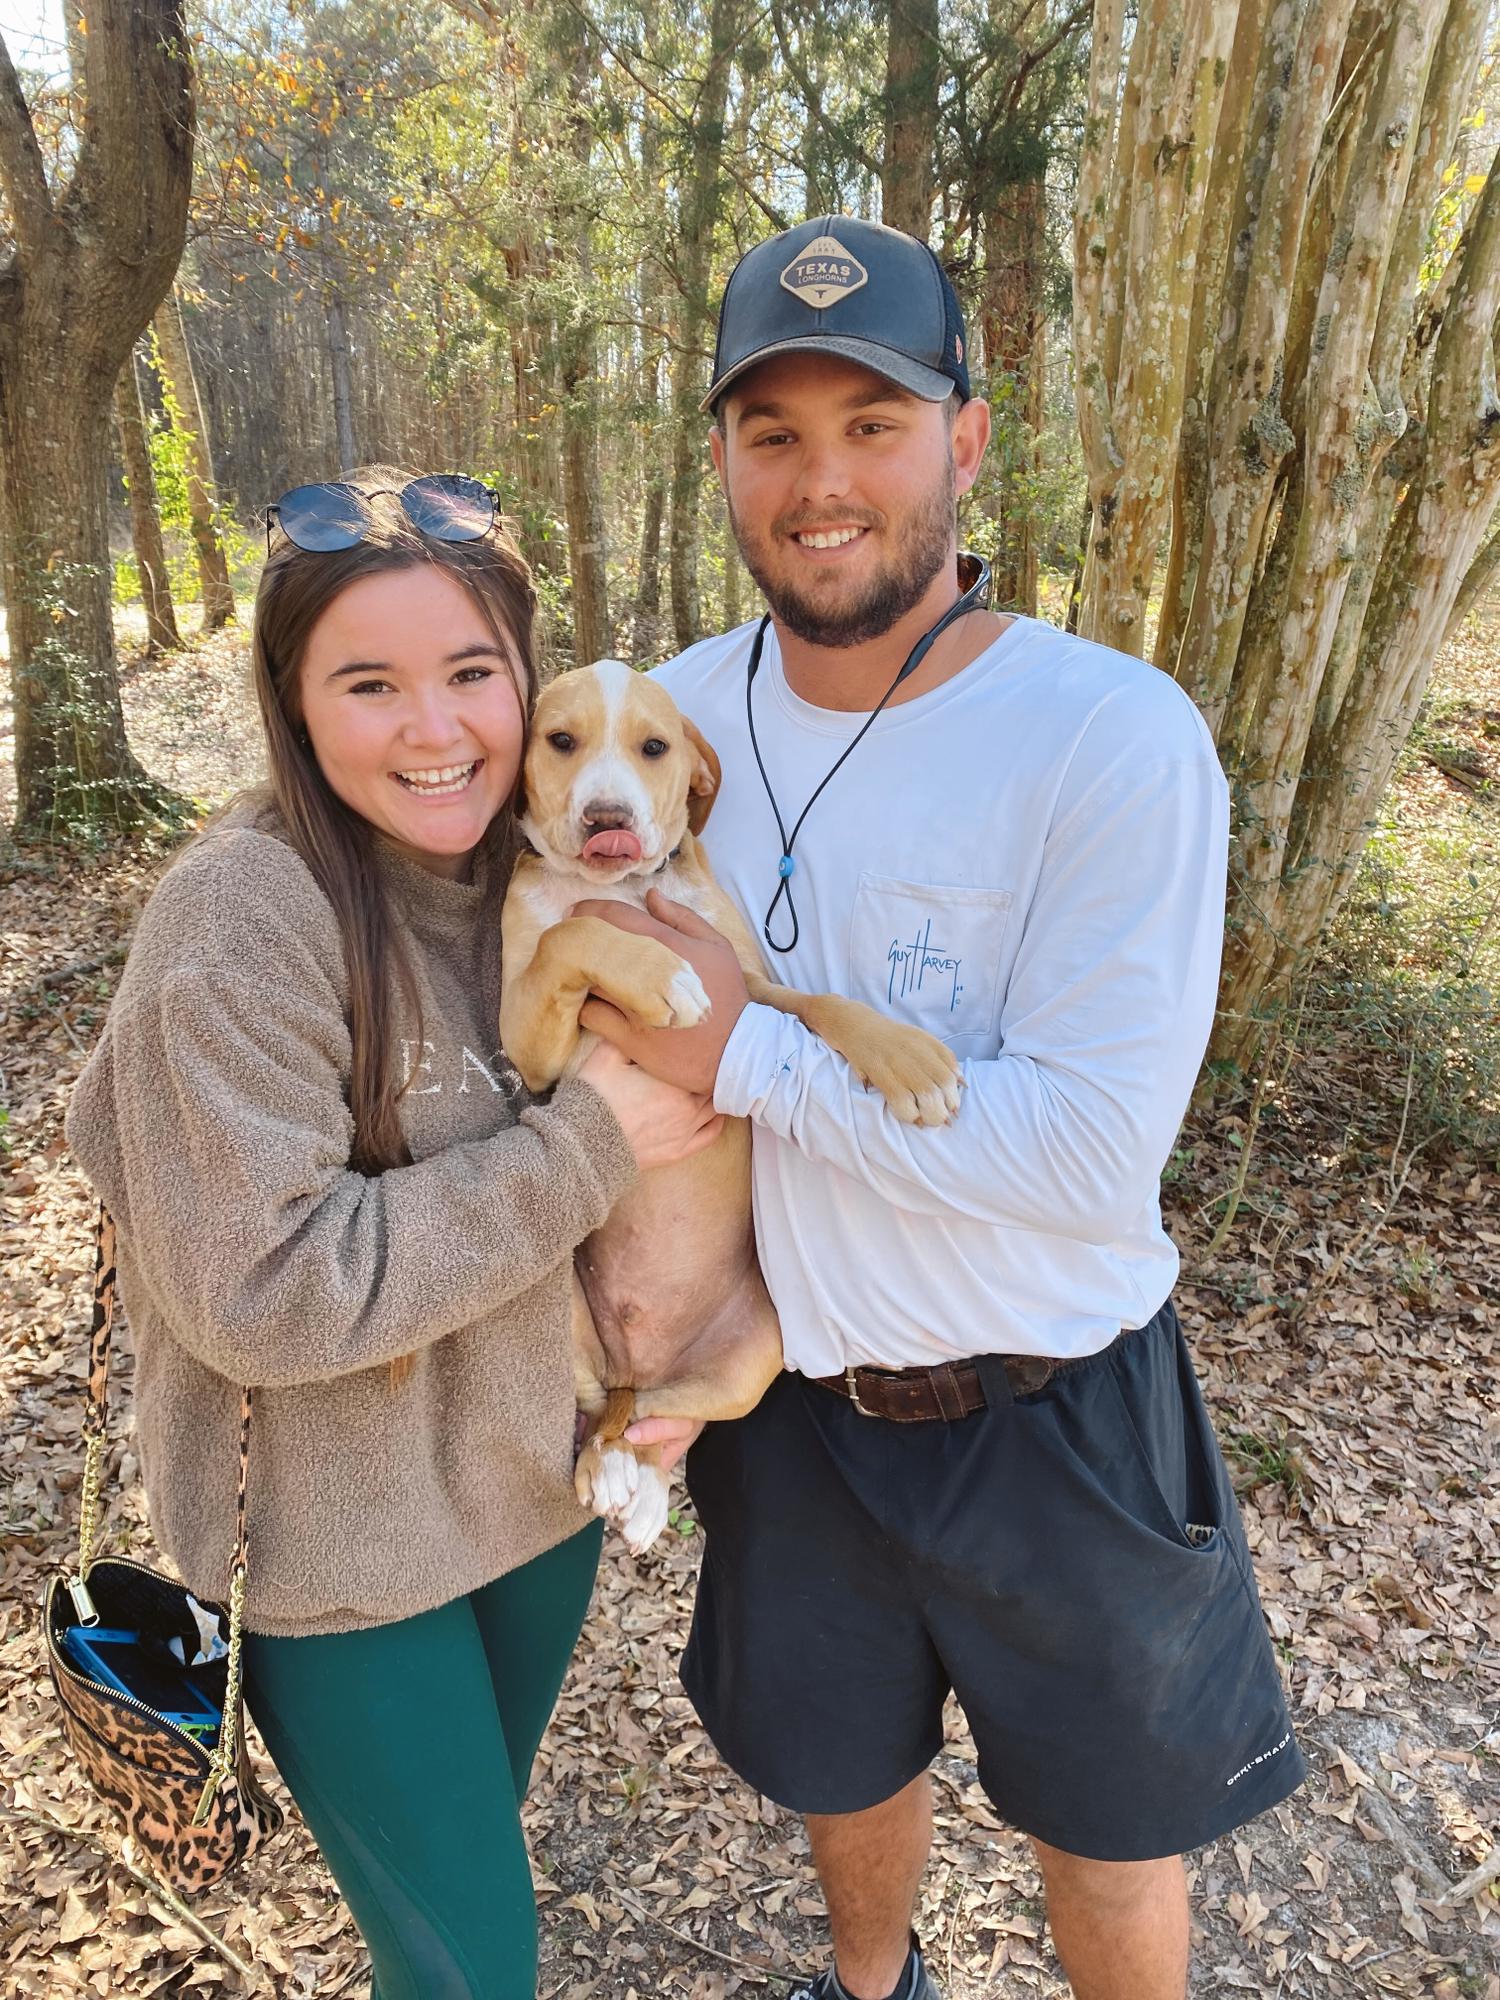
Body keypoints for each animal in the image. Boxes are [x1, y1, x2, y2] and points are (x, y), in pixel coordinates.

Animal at [502, 664, 964, 1552]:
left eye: (654, 747)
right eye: (560, 741)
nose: (607, 820)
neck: (622, 891)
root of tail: (636, 1355)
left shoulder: (745, 981)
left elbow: (818, 1002)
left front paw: (904, 1055)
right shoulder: (525, 1041)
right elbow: (569, 936)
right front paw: (653, 972)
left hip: (758, 1358)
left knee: (652, 1418)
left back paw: (642, 1484)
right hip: (556, 1316)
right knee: (602, 1413)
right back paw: (605, 1471)